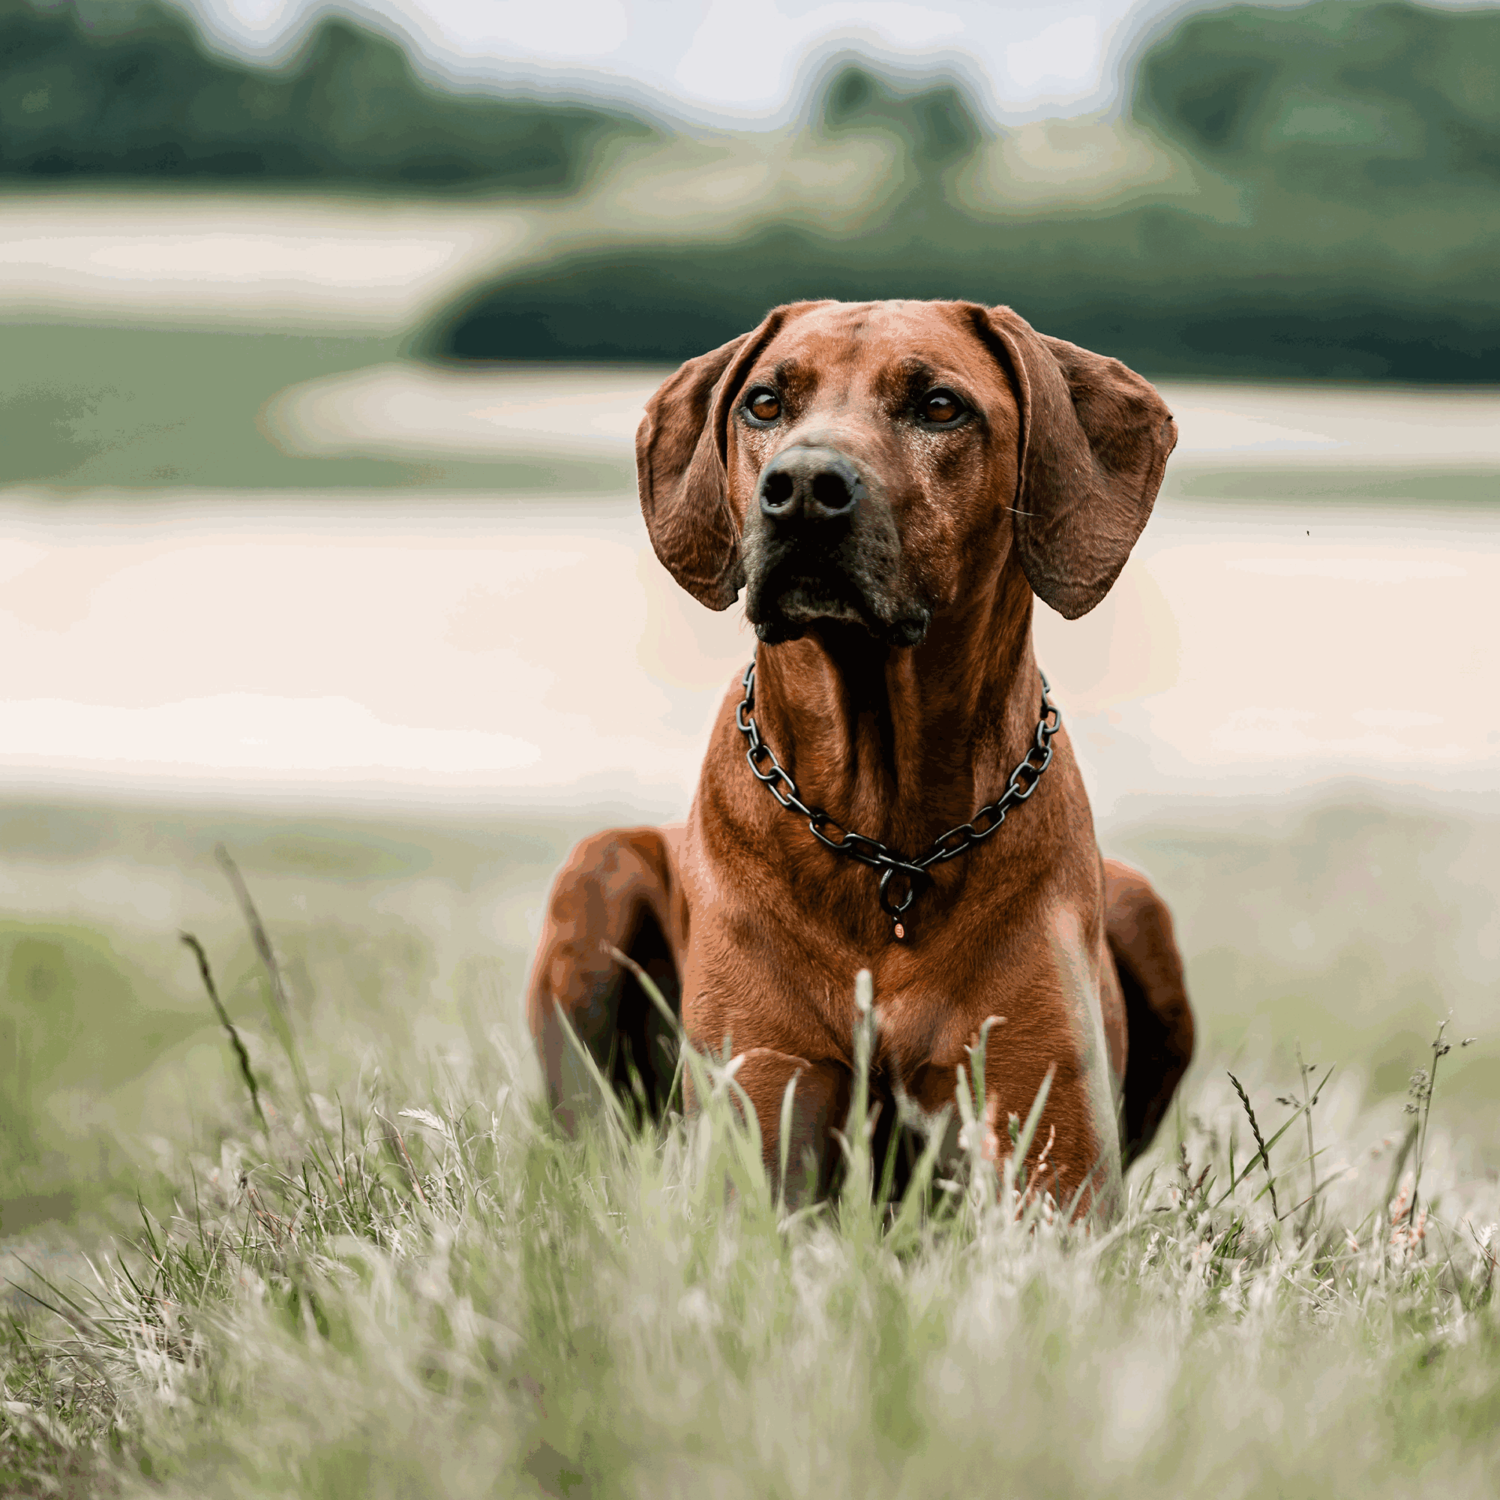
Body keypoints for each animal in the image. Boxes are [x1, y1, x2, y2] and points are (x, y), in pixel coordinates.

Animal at [528, 295, 1194, 1218]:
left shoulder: (1054, 1164)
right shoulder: (764, 1105)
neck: (889, 839)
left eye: (940, 406)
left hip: (1144, 908)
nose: (804, 489)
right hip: (599, 871)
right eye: (765, 403)